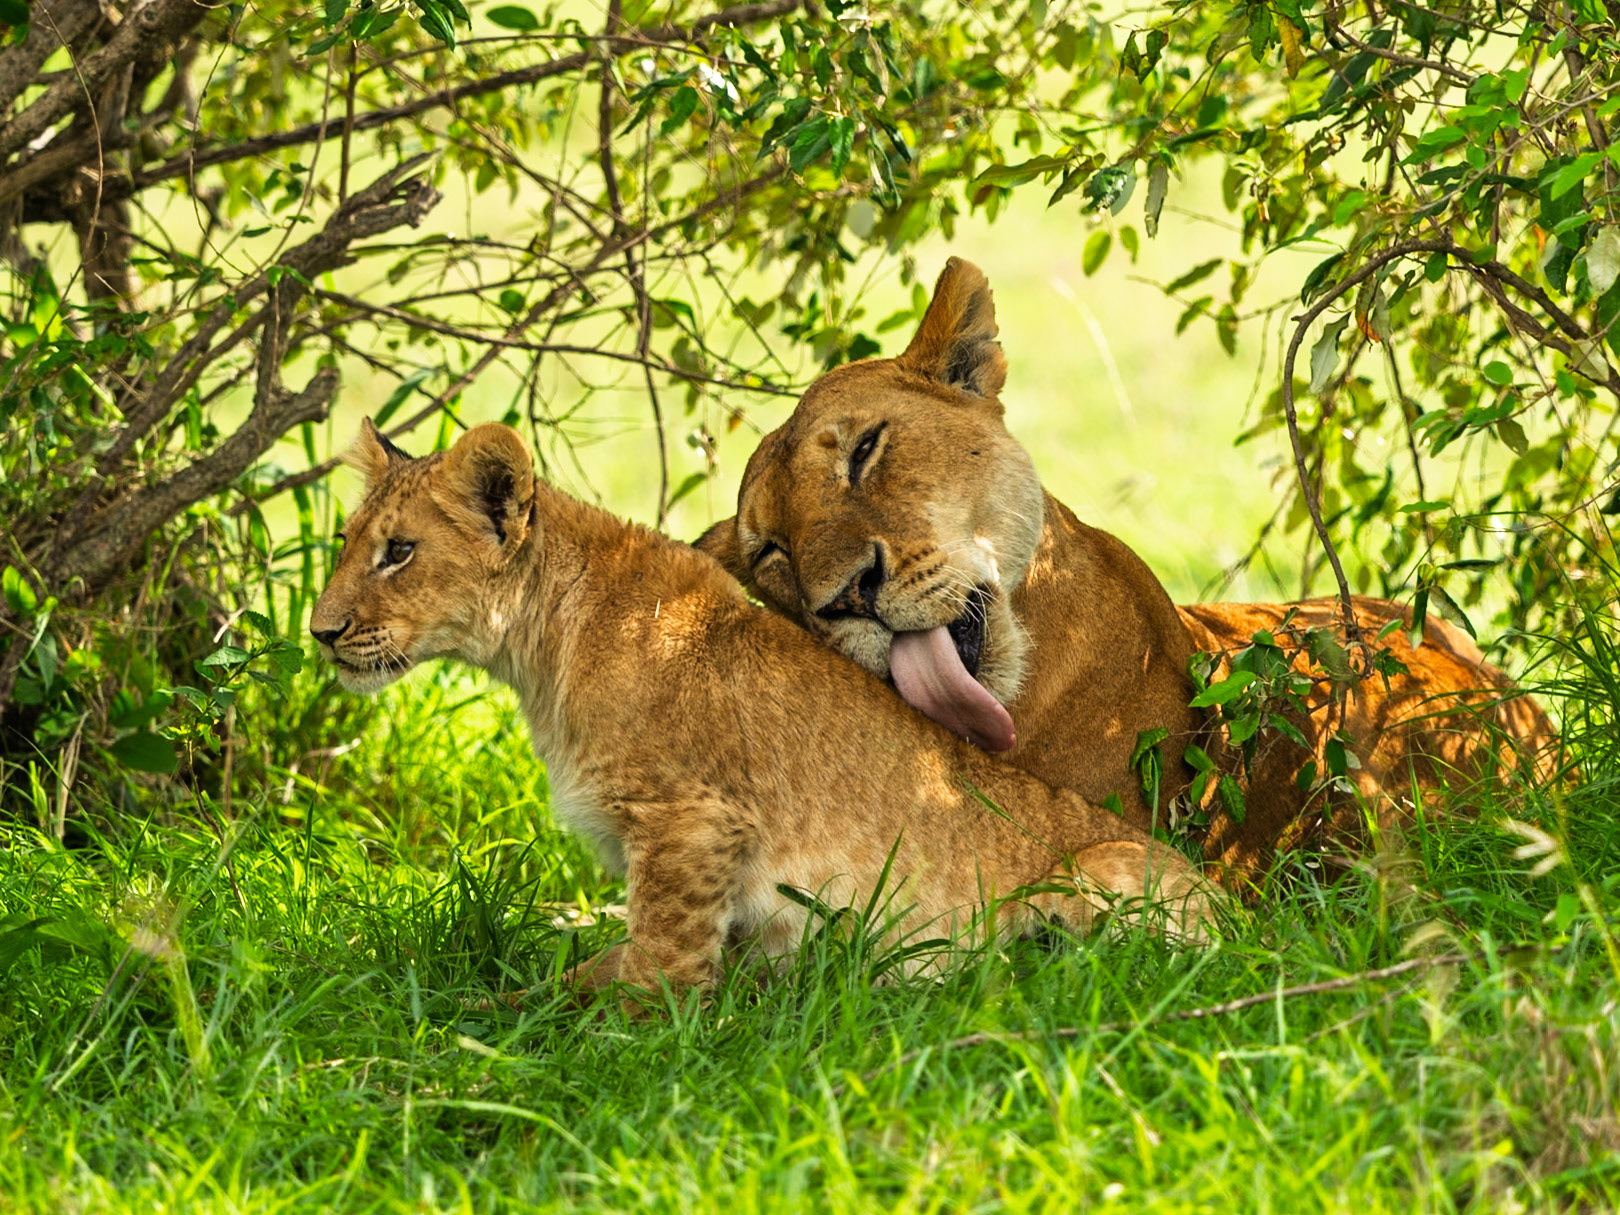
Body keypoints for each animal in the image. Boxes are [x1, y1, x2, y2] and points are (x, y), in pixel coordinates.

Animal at [310, 420, 1212, 1000]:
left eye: (399, 552)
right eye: (349, 542)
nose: (320, 632)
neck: (539, 647)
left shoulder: (693, 820)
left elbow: (654, 971)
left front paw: (620, 1046)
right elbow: (581, 971)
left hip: (1094, 874)